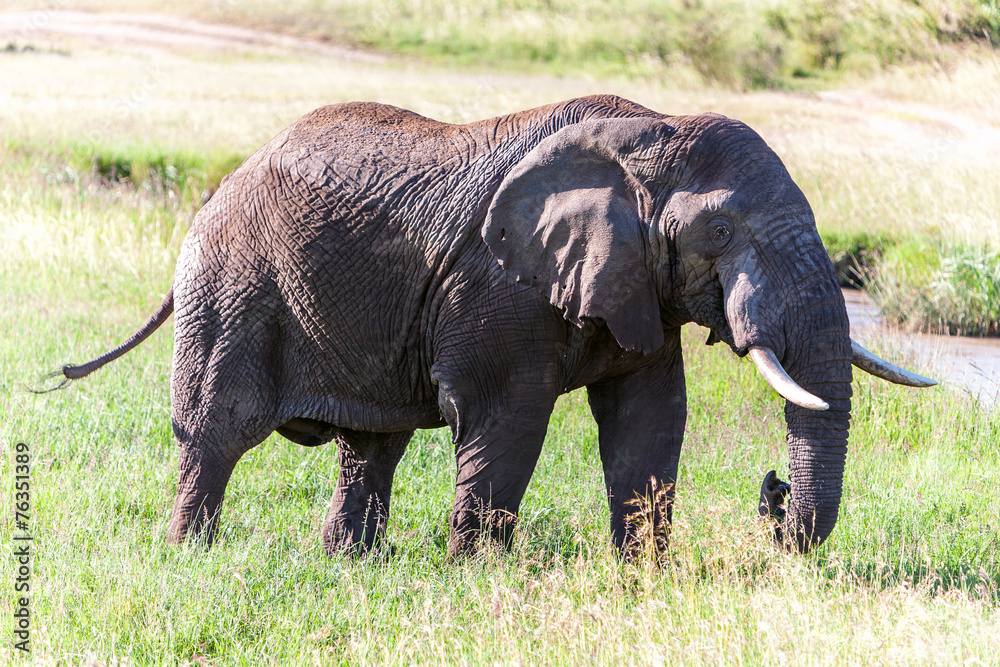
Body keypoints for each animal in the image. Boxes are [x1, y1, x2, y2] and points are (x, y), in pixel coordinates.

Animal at [57, 94, 935, 558]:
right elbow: (506, 417)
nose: (774, 490)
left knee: (370, 444)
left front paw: (644, 578)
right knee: (217, 431)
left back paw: (351, 563)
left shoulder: (636, 284)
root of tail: (218, 189)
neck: (656, 127)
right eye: (719, 233)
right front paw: (477, 574)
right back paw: (188, 552)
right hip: (232, 285)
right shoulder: (497, 288)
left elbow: (649, 419)